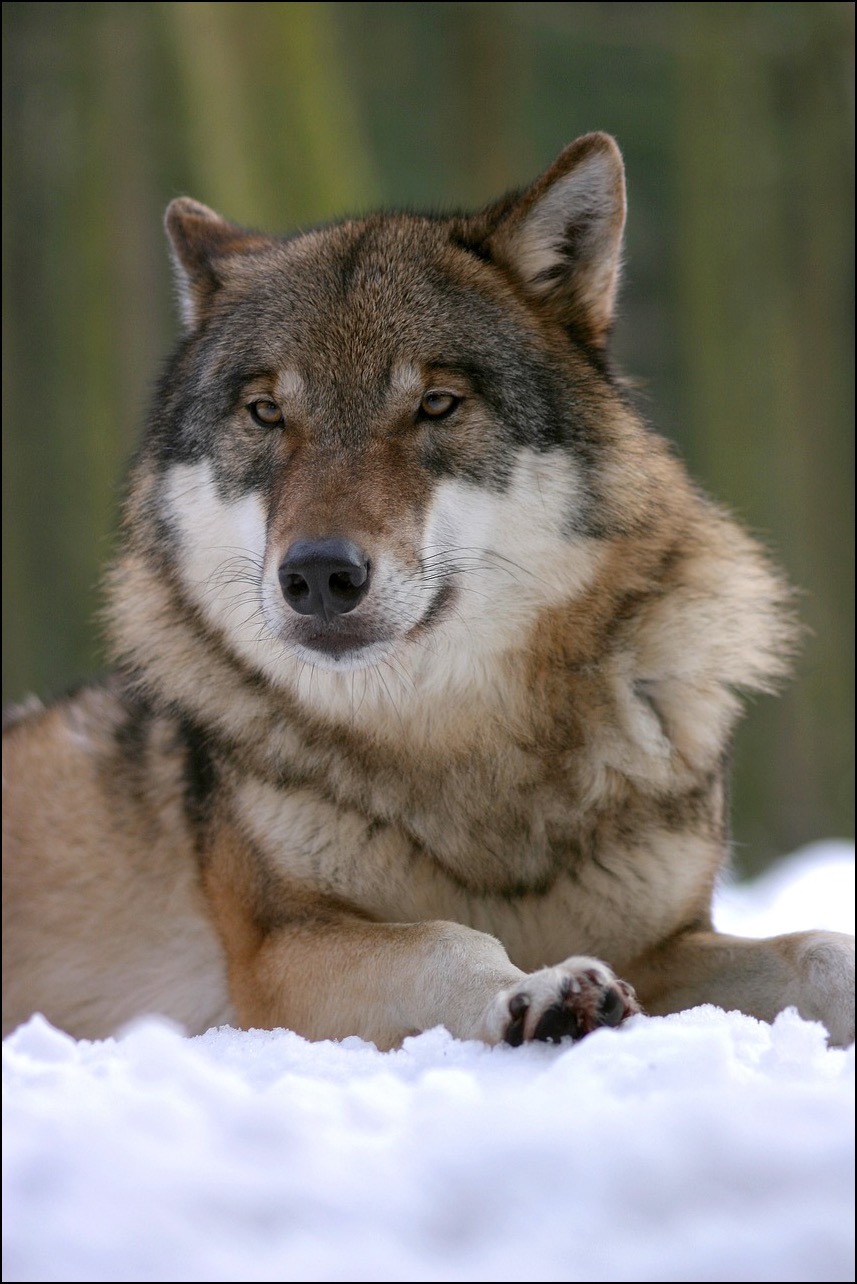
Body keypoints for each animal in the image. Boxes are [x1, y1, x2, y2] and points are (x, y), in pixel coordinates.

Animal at [3, 135, 853, 1047]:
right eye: (266, 413)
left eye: (436, 404)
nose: (318, 575)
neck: (458, 739)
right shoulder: (278, 955)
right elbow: (452, 939)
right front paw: (541, 989)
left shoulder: (664, 944)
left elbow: (817, 950)